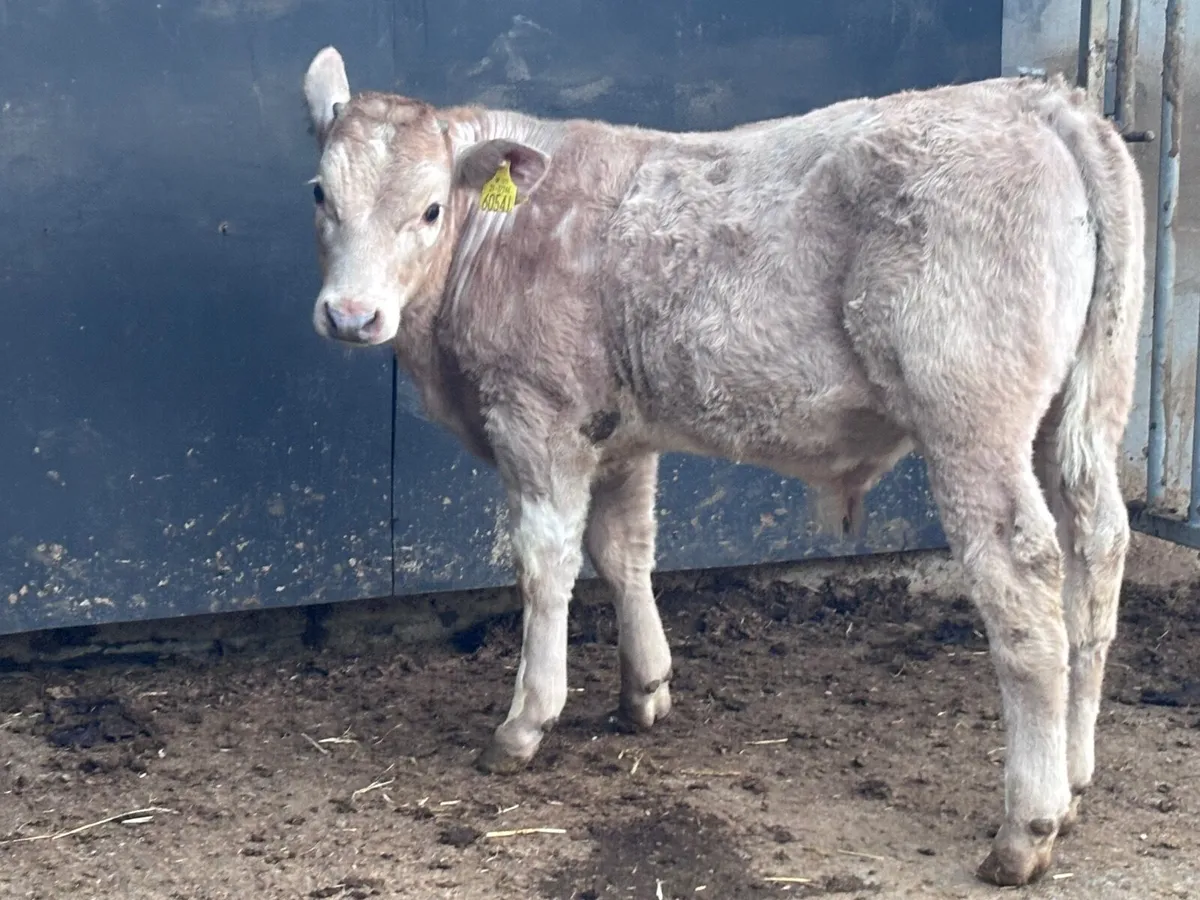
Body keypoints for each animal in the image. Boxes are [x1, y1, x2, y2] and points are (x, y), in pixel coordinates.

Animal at [300, 46, 1145, 886]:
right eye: (320, 194)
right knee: (1097, 551)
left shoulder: (537, 415)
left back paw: (1026, 828)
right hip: (1080, 409)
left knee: (1023, 576)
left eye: (430, 209)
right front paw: (643, 690)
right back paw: (1074, 778)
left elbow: (546, 562)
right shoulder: (622, 431)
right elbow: (624, 550)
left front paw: (525, 722)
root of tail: (1039, 100)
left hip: (970, 415)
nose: (351, 315)